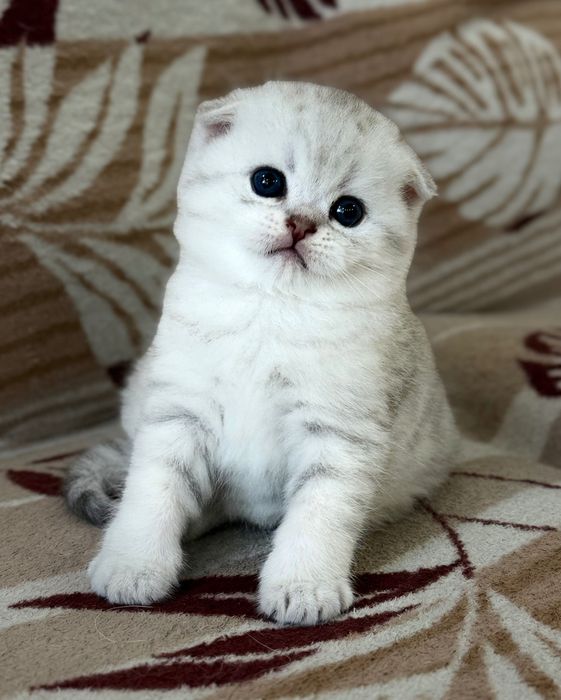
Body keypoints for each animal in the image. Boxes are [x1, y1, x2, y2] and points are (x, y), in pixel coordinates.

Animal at [64, 81, 458, 626]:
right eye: (267, 181)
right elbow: (153, 492)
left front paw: (304, 585)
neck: (269, 312)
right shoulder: (178, 413)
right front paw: (134, 563)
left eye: (348, 212)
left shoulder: (338, 435)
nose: (301, 224)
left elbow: (318, 515)